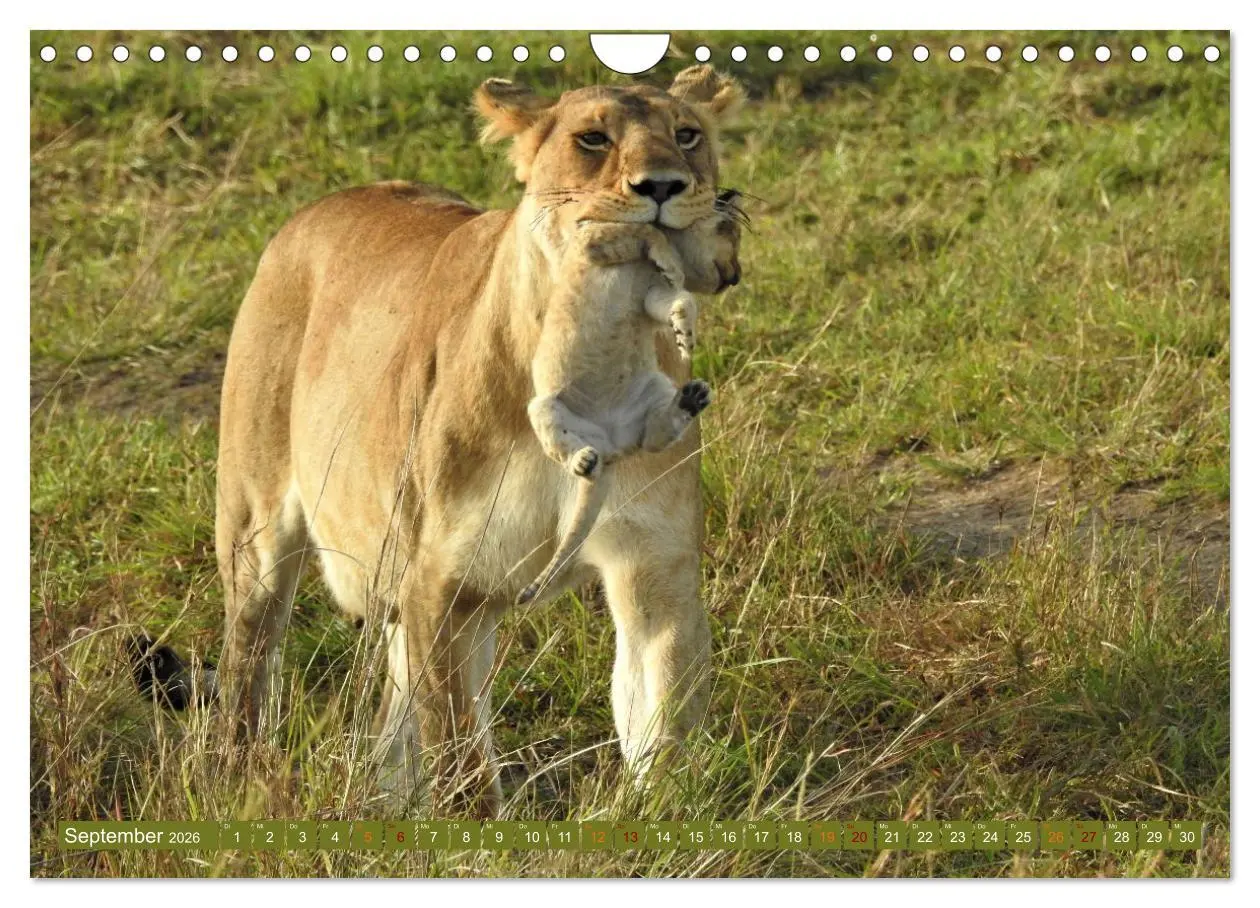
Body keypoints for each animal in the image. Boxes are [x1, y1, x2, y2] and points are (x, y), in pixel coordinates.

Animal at [519, 197, 744, 606]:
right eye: (731, 233)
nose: (737, 275)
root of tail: (610, 448)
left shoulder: (651, 294)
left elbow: (680, 298)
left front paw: (684, 334)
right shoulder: (593, 239)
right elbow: (648, 231)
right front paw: (670, 263)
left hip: (656, 386)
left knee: (652, 438)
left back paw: (692, 399)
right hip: (543, 407)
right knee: (562, 447)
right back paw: (583, 460)